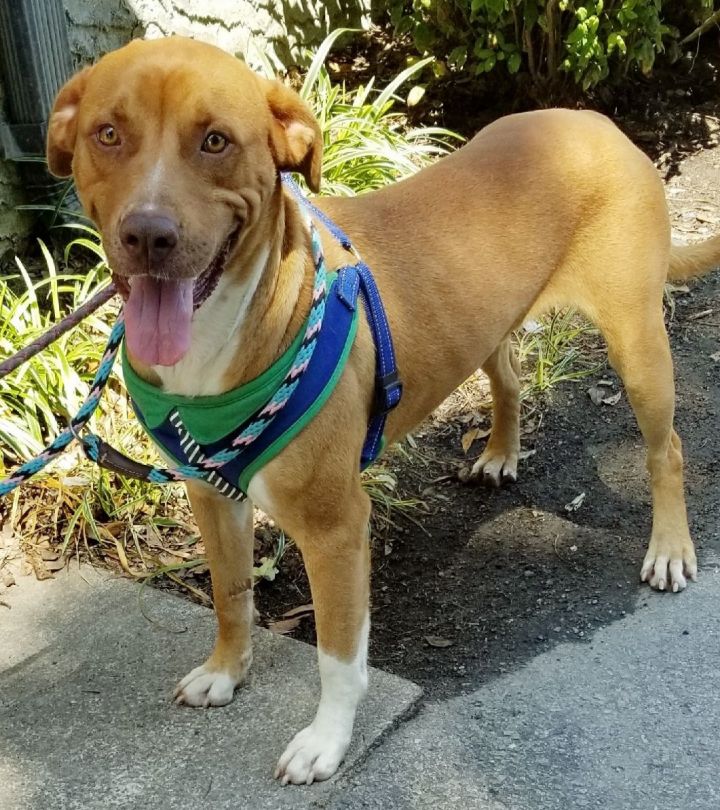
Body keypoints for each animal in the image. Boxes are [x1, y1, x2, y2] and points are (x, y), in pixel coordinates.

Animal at [46, 38, 720, 784]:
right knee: (511, 379)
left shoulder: (336, 527)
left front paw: (327, 740)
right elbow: (228, 593)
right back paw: (500, 451)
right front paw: (226, 671)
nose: (147, 234)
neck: (236, 325)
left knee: (668, 449)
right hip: (482, 323)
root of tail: (597, 123)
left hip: (637, 342)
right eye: (108, 134)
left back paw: (670, 549)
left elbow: (338, 655)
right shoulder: (209, 495)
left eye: (215, 140)